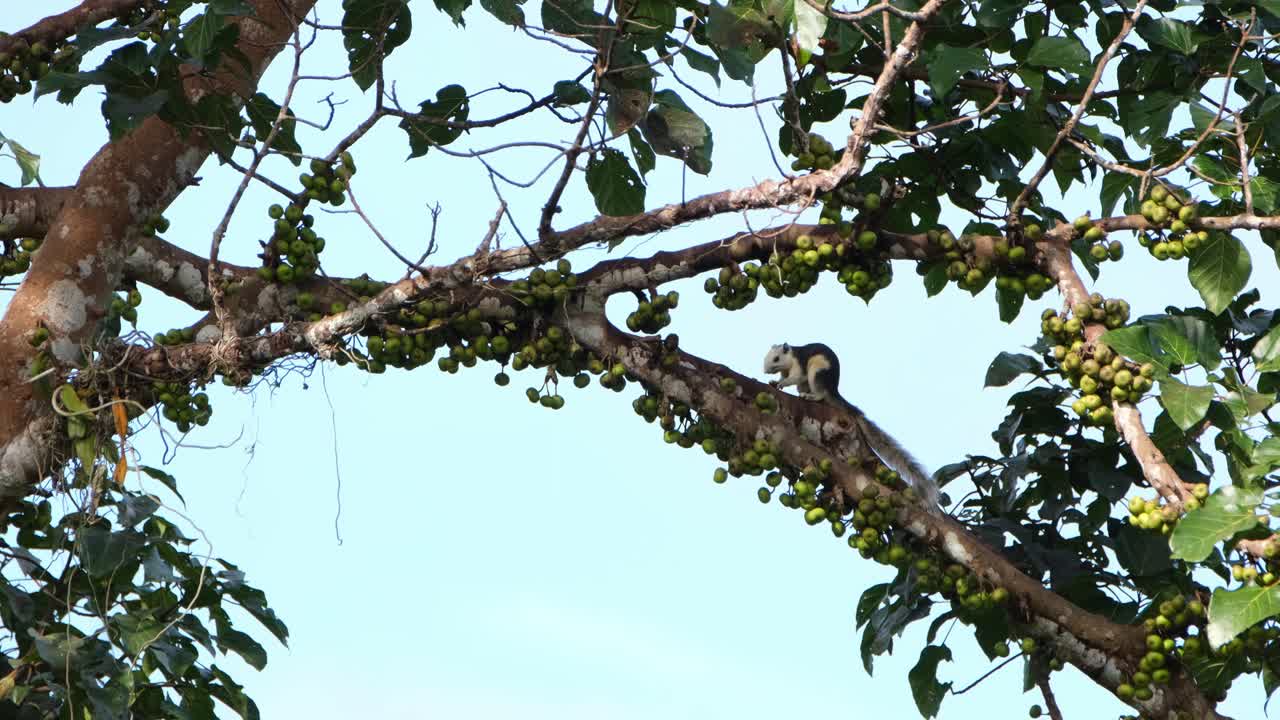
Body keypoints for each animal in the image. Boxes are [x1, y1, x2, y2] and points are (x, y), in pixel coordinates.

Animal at [763, 342, 941, 513]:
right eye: (767, 357)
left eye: (776, 359)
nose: (765, 370)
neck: (790, 359)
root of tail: (833, 390)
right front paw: (774, 382)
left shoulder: (799, 366)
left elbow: (794, 377)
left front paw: (780, 383)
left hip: (818, 371)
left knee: (821, 393)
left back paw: (812, 396)